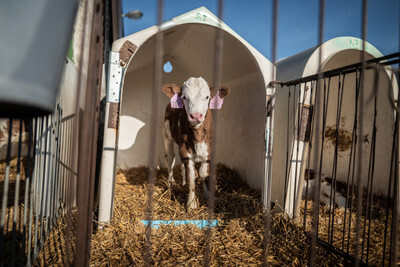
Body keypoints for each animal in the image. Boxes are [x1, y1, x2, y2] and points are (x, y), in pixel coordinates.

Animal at [162, 77, 231, 211]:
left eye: (207, 97)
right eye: (184, 97)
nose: (195, 115)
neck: (197, 134)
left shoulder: (209, 148)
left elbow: (204, 174)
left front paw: (207, 195)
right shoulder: (184, 148)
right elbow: (193, 176)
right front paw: (191, 204)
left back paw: (182, 182)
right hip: (167, 135)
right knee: (170, 157)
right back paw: (171, 182)